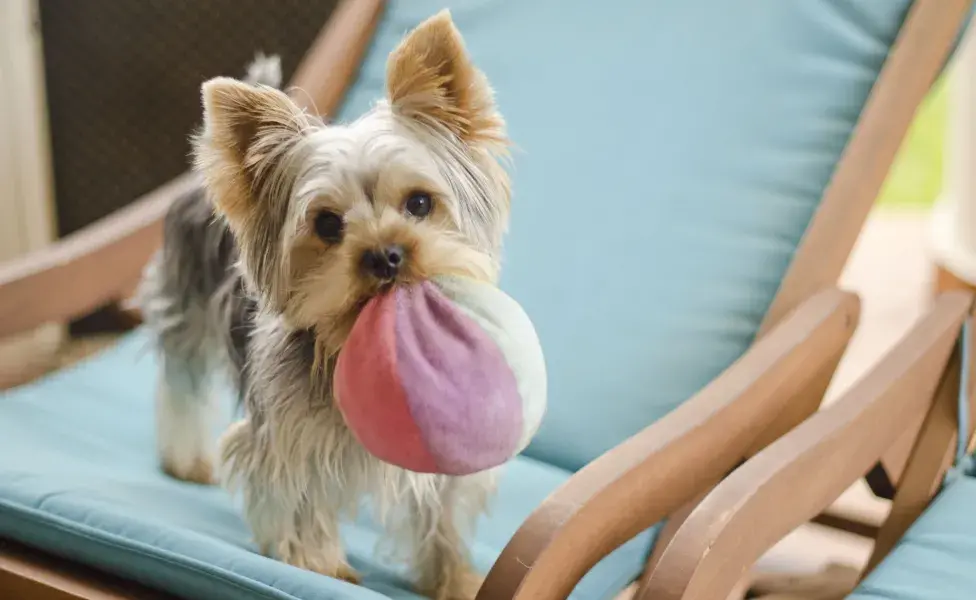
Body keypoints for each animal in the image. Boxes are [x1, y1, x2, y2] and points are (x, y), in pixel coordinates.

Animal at [141, 10, 516, 600]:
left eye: (420, 203)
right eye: (327, 224)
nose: (385, 255)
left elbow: (444, 511)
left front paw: (454, 577)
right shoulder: (289, 433)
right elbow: (297, 493)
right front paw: (316, 563)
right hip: (186, 301)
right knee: (181, 384)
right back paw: (186, 461)